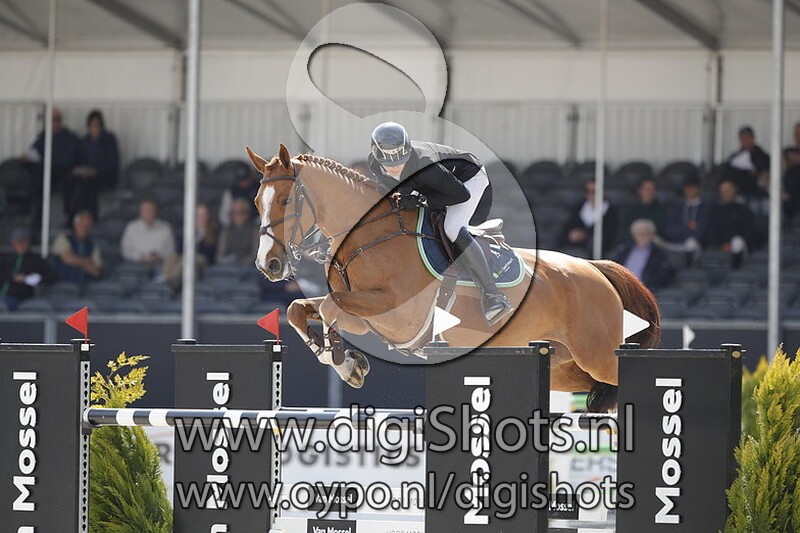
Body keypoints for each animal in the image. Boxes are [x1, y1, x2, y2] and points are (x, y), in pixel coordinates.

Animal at [246, 144, 660, 412]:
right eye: (255, 202)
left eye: (286, 201)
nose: (269, 265)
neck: (368, 236)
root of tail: (595, 269)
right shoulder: (368, 318)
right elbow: (300, 309)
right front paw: (342, 359)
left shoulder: (396, 313)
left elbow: (329, 308)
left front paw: (344, 361)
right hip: (565, 366)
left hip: (598, 355)